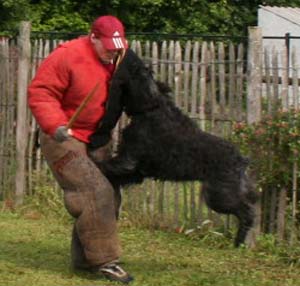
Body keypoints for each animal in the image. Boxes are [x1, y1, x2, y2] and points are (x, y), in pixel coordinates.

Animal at [89, 48, 258, 246]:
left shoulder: (128, 161)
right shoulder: (136, 172)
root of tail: (242, 160)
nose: (127, 50)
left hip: (219, 196)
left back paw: (239, 240)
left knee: (247, 211)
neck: (151, 108)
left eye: (134, 64)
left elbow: (104, 166)